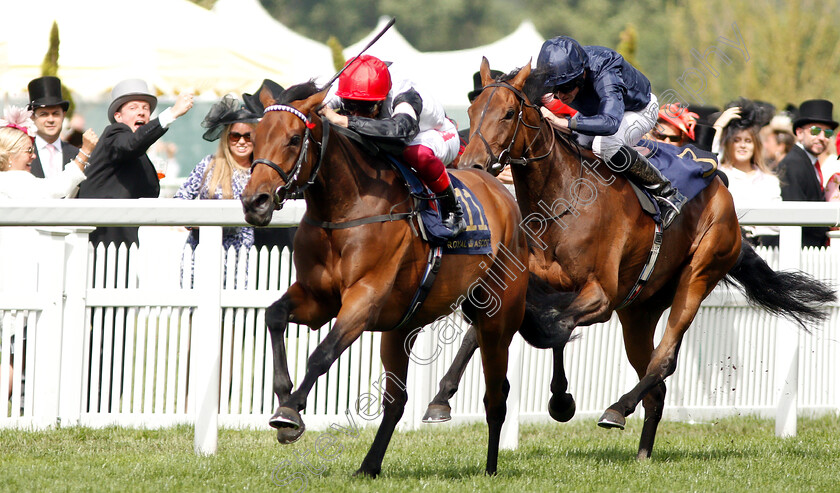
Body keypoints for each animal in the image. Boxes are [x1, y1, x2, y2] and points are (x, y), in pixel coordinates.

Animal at [240, 81, 532, 476]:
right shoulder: (317, 299)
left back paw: (489, 467)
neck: (344, 209)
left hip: (498, 318)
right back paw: (369, 465)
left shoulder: (364, 300)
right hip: (401, 327)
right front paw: (286, 396)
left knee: (495, 395)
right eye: (255, 138)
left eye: (294, 138)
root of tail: (502, 193)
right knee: (396, 400)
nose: (254, 201)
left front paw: (290, 412)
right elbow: (274, 315)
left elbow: (322, 354)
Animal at [430, 59, 836, 460]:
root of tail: (722, 187)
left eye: (509, 113)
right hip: (639, 309)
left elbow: (553, 325)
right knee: (656, 385)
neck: (561, 201)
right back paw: (642, 451)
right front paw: (441, 399)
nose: (471, 165)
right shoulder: (532, 283)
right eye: (471, 111)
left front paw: (561, 399)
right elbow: (493, 327)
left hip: (699, 273)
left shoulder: (601, 295)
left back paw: (617, 409)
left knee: (665, 359)